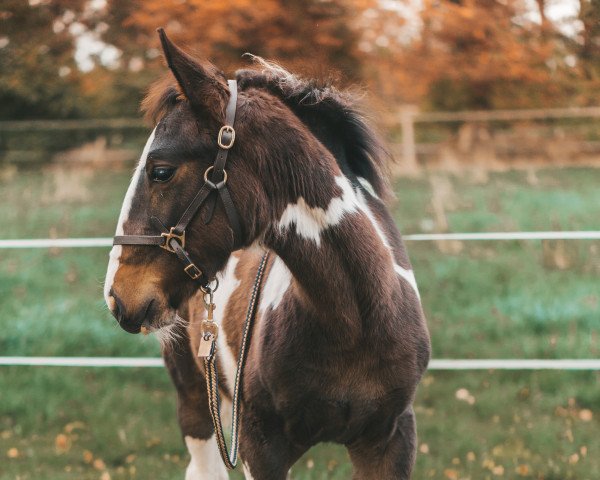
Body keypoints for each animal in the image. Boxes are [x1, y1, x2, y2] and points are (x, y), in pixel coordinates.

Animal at [104, 29, 432, 480]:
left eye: (161, 171)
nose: (117, 295)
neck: (355, 321)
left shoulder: (391, 439)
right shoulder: (260, 445)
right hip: (197, 403)